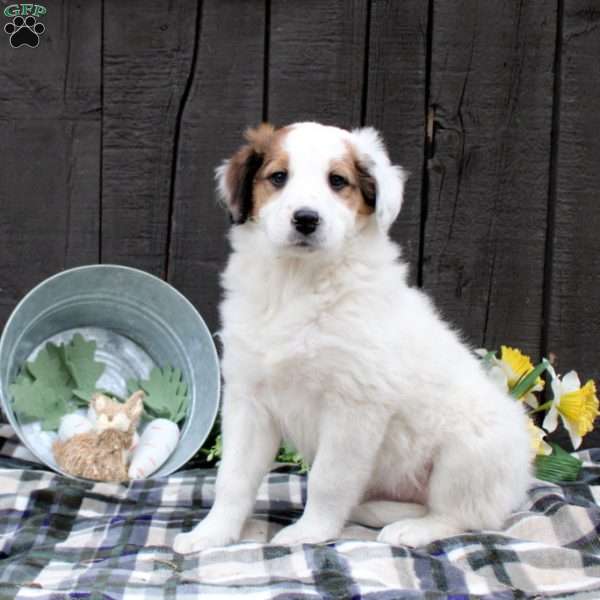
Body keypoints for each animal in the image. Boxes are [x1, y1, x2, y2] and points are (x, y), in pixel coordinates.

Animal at [172, 122, 528, 552]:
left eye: (337, 181)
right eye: (278, 177)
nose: (306, 219)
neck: (297, 282)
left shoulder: (353, 405)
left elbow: (328, 479)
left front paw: (310, 533)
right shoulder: (248, 398)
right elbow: (234, 477)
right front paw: (211, 533)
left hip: (469, 453)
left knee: (461, 514)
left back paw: (412, 529)